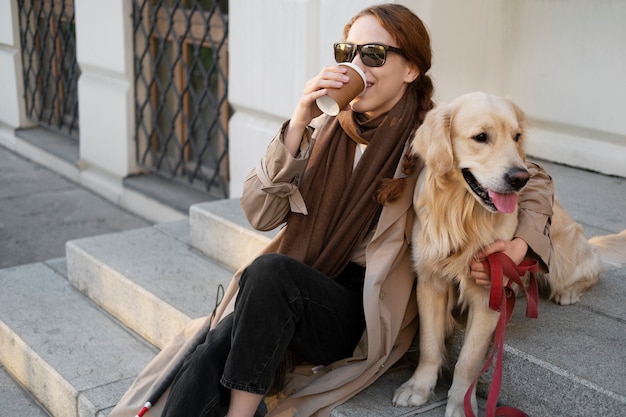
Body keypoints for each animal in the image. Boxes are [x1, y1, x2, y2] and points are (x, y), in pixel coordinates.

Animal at [390, 92, 624, 416]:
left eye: (516, 137)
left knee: (593, 265)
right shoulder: (429, 282)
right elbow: (429, 345)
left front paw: (461, 404)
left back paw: (569, 292)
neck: (463, 213)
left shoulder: (490, 288)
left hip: (561, 259)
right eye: (481, 137)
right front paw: (419, 388)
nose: (520, 178)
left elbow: (468, 361)